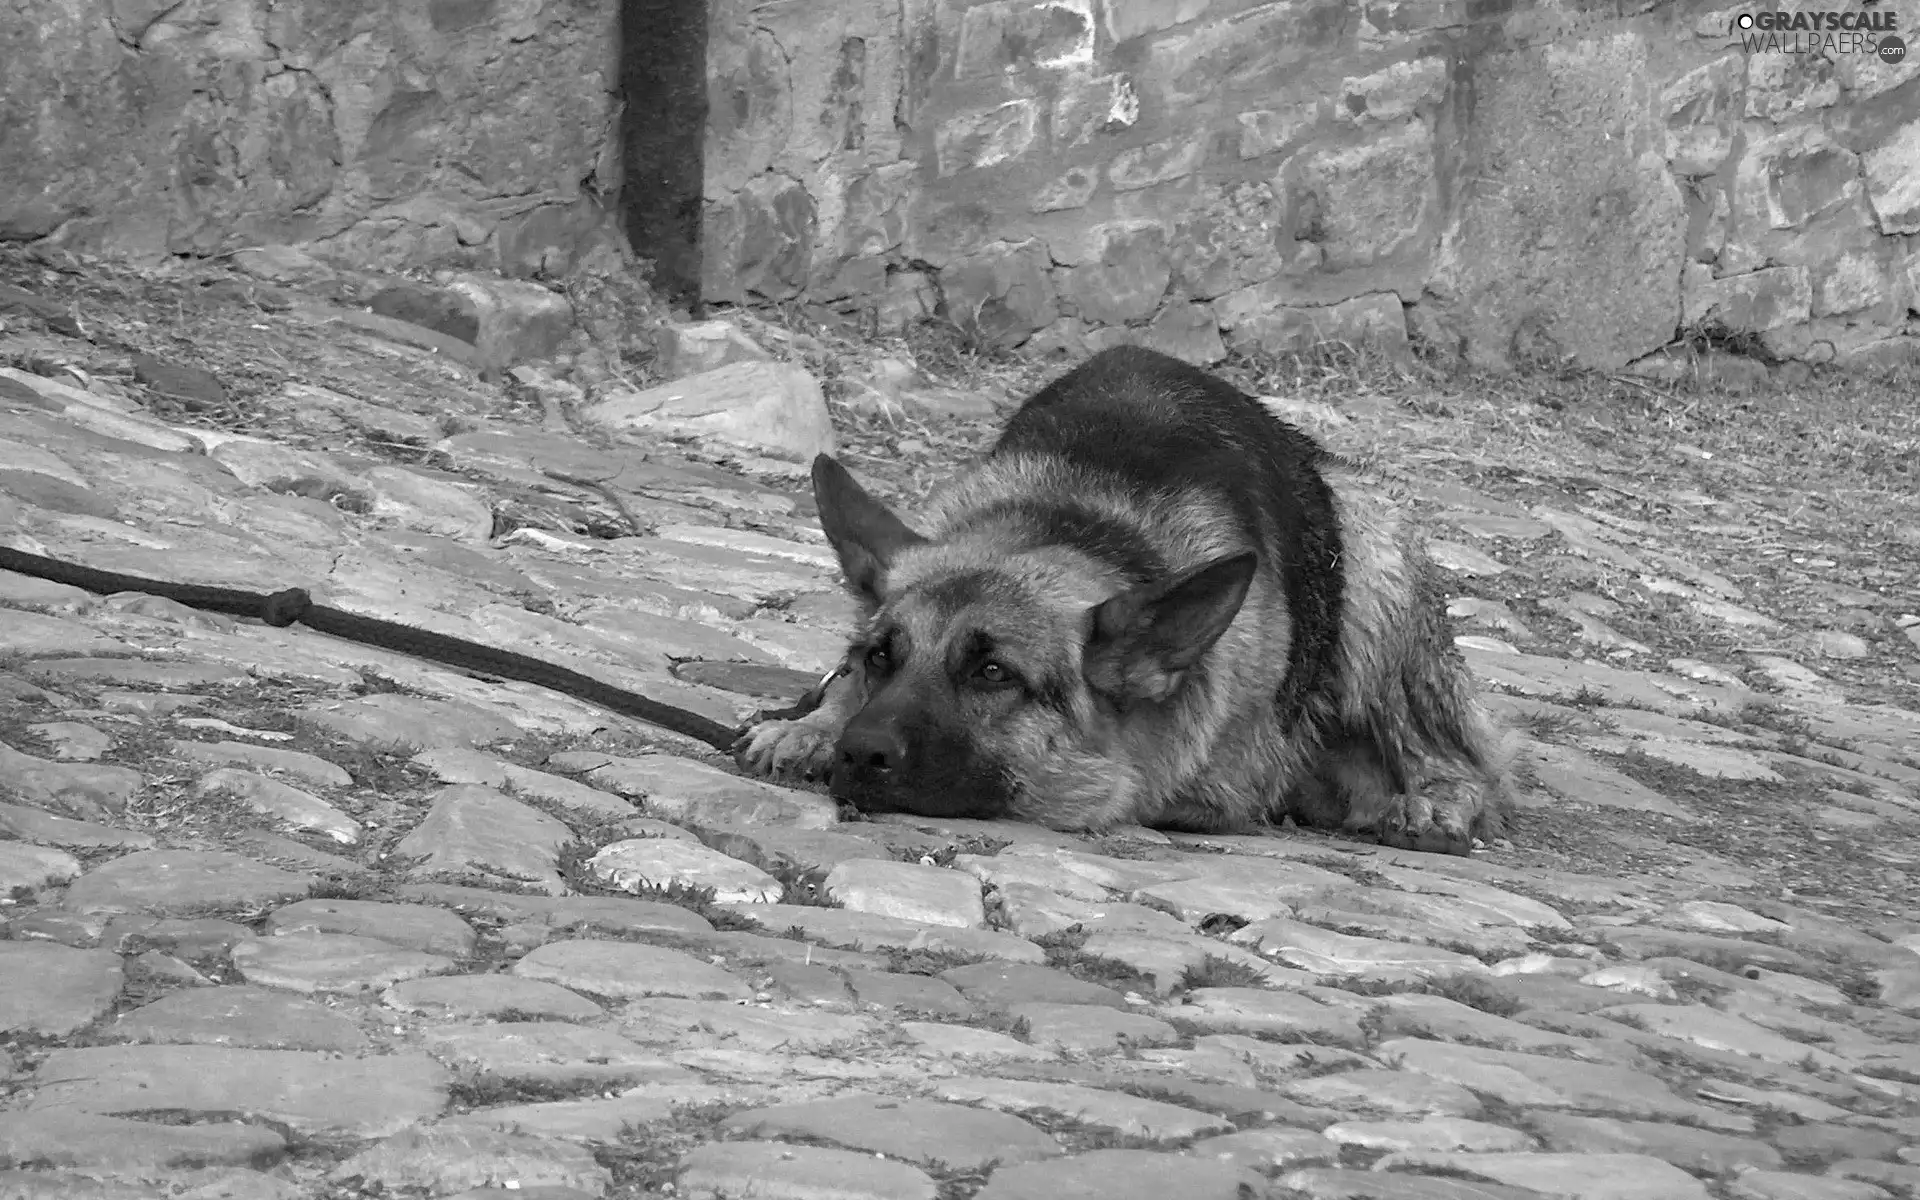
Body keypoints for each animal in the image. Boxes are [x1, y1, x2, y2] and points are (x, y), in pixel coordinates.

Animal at [733, 343, 1512, 852]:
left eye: (993, 673)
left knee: (1462, 762)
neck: (1073, 520)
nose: (859, 754)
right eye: (879, 659)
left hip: (1375, 568)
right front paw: (813, 725)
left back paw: (1430, 803)